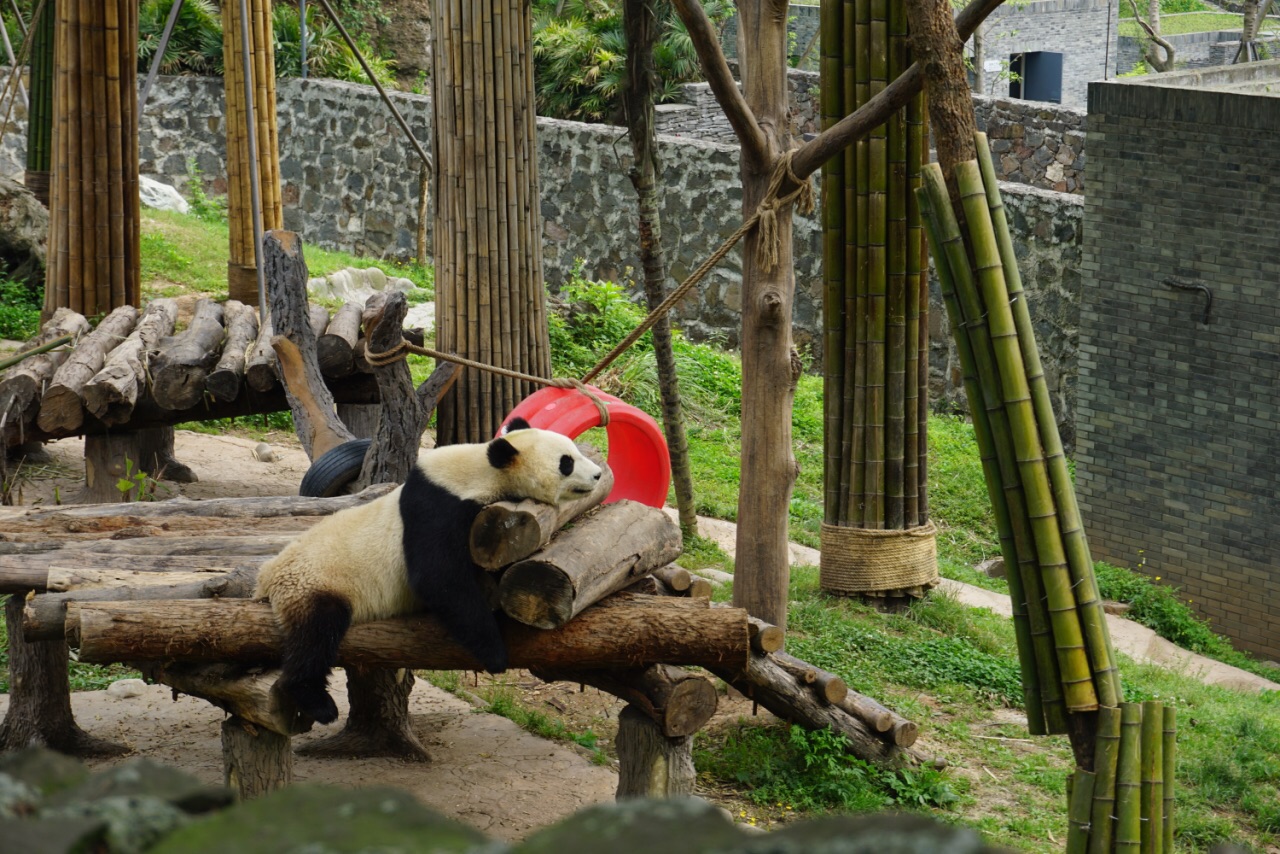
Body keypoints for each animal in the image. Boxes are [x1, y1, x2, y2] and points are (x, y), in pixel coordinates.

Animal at [257, 417, 606, 727]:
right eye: (566, 463)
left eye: (574, 450)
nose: (598, 474)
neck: (484, 471)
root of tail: (267, 578)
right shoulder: (439, 506)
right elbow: (438, 577)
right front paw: (495, 655)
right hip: (313, 582)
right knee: (316, 634)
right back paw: (316, 700)